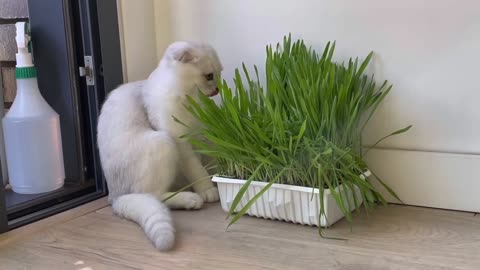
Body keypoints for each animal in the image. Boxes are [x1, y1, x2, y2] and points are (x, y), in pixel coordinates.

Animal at [98, 41, 225, 250]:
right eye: (209, 76)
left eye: (219, 74)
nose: (217, 90)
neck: (188, 98)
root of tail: (114, 197)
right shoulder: (180, 143)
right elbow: (197, 170)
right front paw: (207, 189)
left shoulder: (194, 136)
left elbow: (198, 165)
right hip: (162, 142)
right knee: (154, 196)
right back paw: (191, 199)